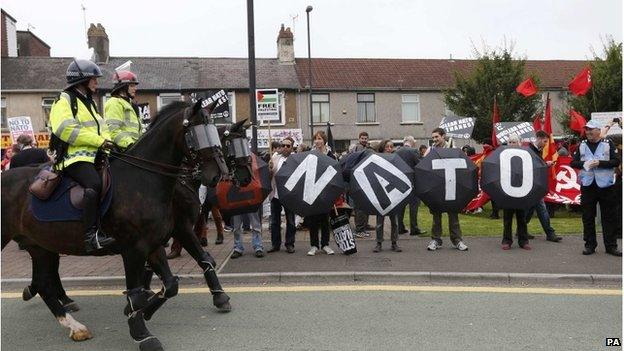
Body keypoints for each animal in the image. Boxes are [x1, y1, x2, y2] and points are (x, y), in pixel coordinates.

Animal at [0, 99, 229, 351]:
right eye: (196, 134)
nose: (218, 174)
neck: (142, 180)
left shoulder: (154, 243)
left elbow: (171, 284)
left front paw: (144, 312)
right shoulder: (135, 248)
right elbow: (136, 291)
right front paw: (142, 333)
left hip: (41, 245)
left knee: (43, 284)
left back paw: (75, 326)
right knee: (45, 283)